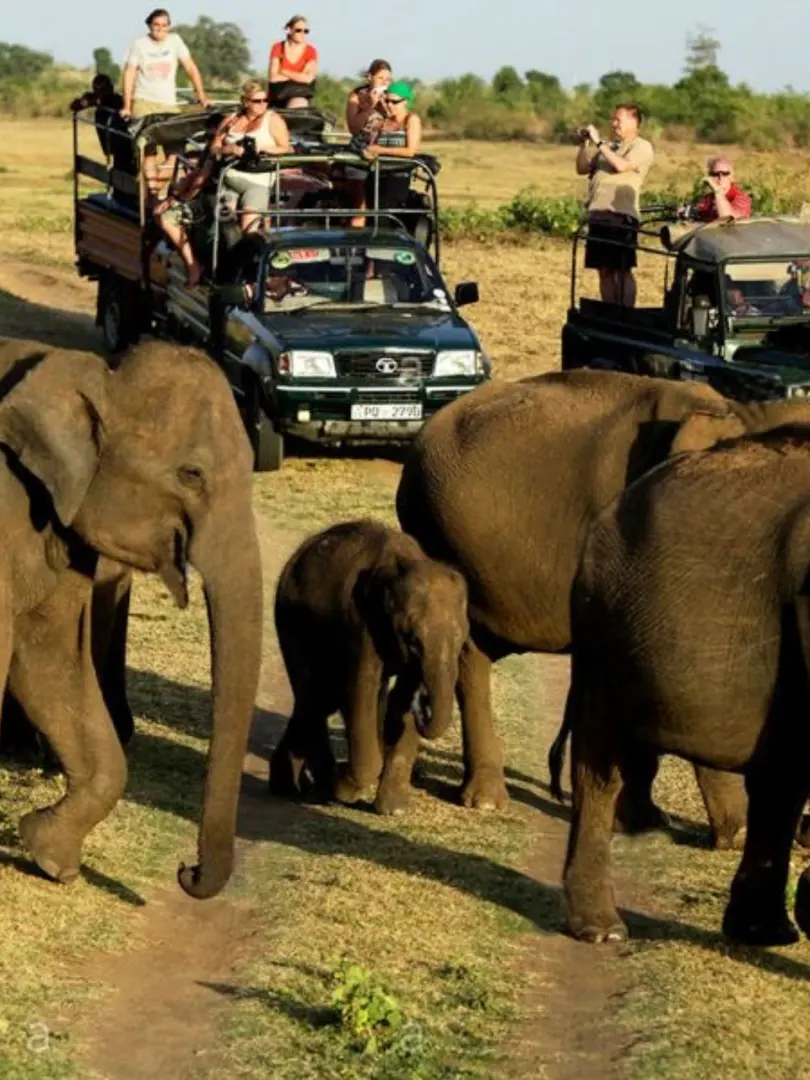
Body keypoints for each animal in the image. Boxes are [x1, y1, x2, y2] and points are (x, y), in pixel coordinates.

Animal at [269, 520, 468, 816]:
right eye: (412, 640)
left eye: (462, 641)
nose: (423, 704)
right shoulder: (360, 624)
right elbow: (360, 690)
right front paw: (343, 788)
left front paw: (394, 810)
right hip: (290, 618)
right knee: (315, 695)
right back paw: (314, 784)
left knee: (321, 700)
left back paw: (292, 784)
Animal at [395, 368, 810, 843]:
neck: (743, 410)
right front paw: (726, 831)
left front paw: (650, 819)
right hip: (437, 536)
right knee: (467, 655)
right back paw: (486, 799)